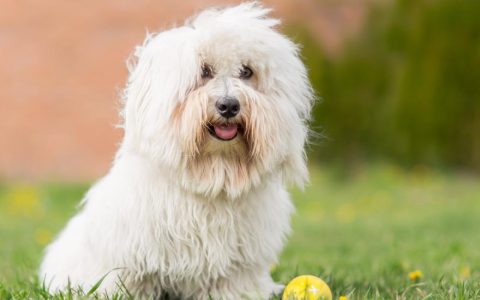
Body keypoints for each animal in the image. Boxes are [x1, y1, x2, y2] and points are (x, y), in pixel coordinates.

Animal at [39, 1, 314, 298]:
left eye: (246, 72)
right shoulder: (135, 257)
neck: (212, 175)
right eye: (204, 71)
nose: (229, 105)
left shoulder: (236, 268)